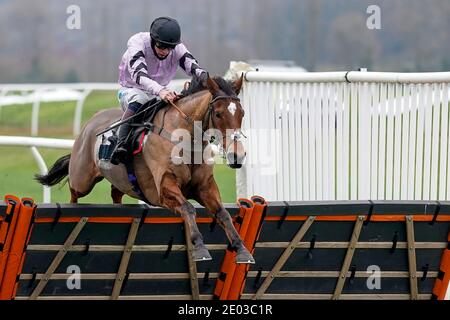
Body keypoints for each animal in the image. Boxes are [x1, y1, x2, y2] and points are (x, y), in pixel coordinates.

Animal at [36, 74, 253, 262]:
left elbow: (223, 214)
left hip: (120, 180)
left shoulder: (204, 186)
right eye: (218, 113)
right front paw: (200, 248)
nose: (237, 155)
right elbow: (188, 208)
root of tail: (92, 120)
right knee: (74, 193)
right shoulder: (163, 188)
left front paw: (242, 249)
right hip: (82, 179)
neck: (185, 139)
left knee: (115, 193)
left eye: (242, 113)